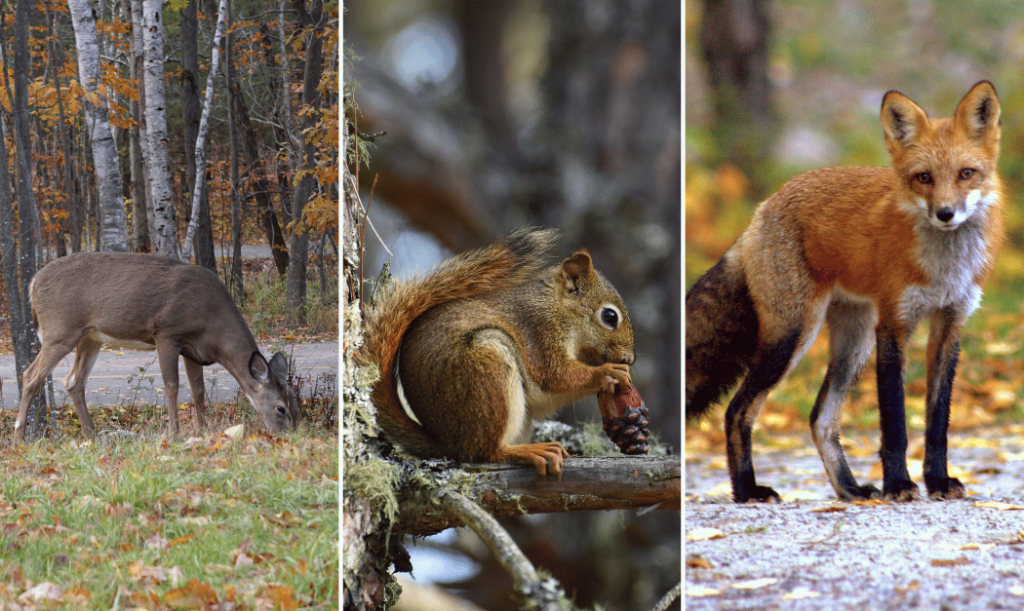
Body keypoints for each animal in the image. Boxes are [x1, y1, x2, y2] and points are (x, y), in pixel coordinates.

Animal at [12, 249, 299, 440]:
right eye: (281, 408)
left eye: (295, 403)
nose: (291, 436)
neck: (213, 326)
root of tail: (33, 282)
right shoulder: (167, 334)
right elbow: (172, 385)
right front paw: (174, 434)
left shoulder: (194, 351)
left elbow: (198, 390)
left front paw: (202, 430)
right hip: (60, 329)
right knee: (31, 375)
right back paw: (20, 438)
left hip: (90, 336)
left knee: (74, 381)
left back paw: (92, 436)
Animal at [360, 226, 630, 474]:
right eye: (609, 316)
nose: (629, 358)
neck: (557, 306)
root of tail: (447, 443)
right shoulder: (539, 331)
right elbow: (555, 376)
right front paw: (608, 372)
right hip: (488, 372)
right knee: (483, 452)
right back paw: (528, 451)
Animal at [684, 79, 1003, 499]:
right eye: (924, 178)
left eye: (967, 173)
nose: (945, 214)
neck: (943, 268)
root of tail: (762, 210)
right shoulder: (894, 326)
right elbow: (895, 423)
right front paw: (898, 484)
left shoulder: (949, 328)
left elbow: (937, 424)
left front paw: (937, 480)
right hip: (792, 337)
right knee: (737, 410)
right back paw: (748, 491)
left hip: (853, 345)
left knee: (820, 419)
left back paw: (850, 489)